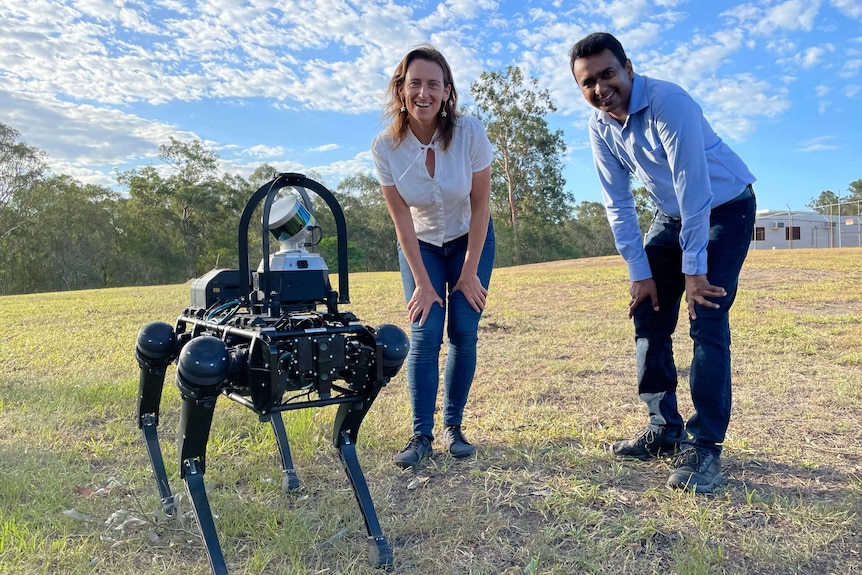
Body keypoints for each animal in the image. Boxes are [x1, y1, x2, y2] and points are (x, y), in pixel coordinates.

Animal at [134, 173, 408, 572]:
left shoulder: (372, 371)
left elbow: (344, 439)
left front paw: (380, 545)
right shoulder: (201, 369)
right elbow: (191, 462)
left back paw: (289, 479)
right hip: (170, 347)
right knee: (148, 409)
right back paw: (168, 502)